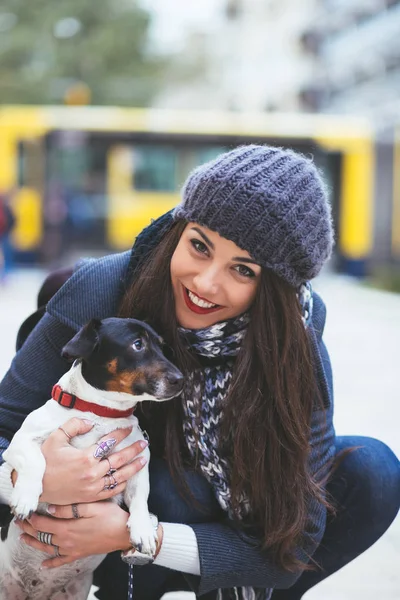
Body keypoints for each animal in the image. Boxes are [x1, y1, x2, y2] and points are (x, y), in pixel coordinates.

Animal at [0, 316, 184, 596]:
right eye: (137, 344)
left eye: (163, 347)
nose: (181, 380)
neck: (101, 414)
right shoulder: (20, 442)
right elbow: (36, 461)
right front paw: (24, 497)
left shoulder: (137, 467)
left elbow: (140, 500)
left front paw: (143, 529)